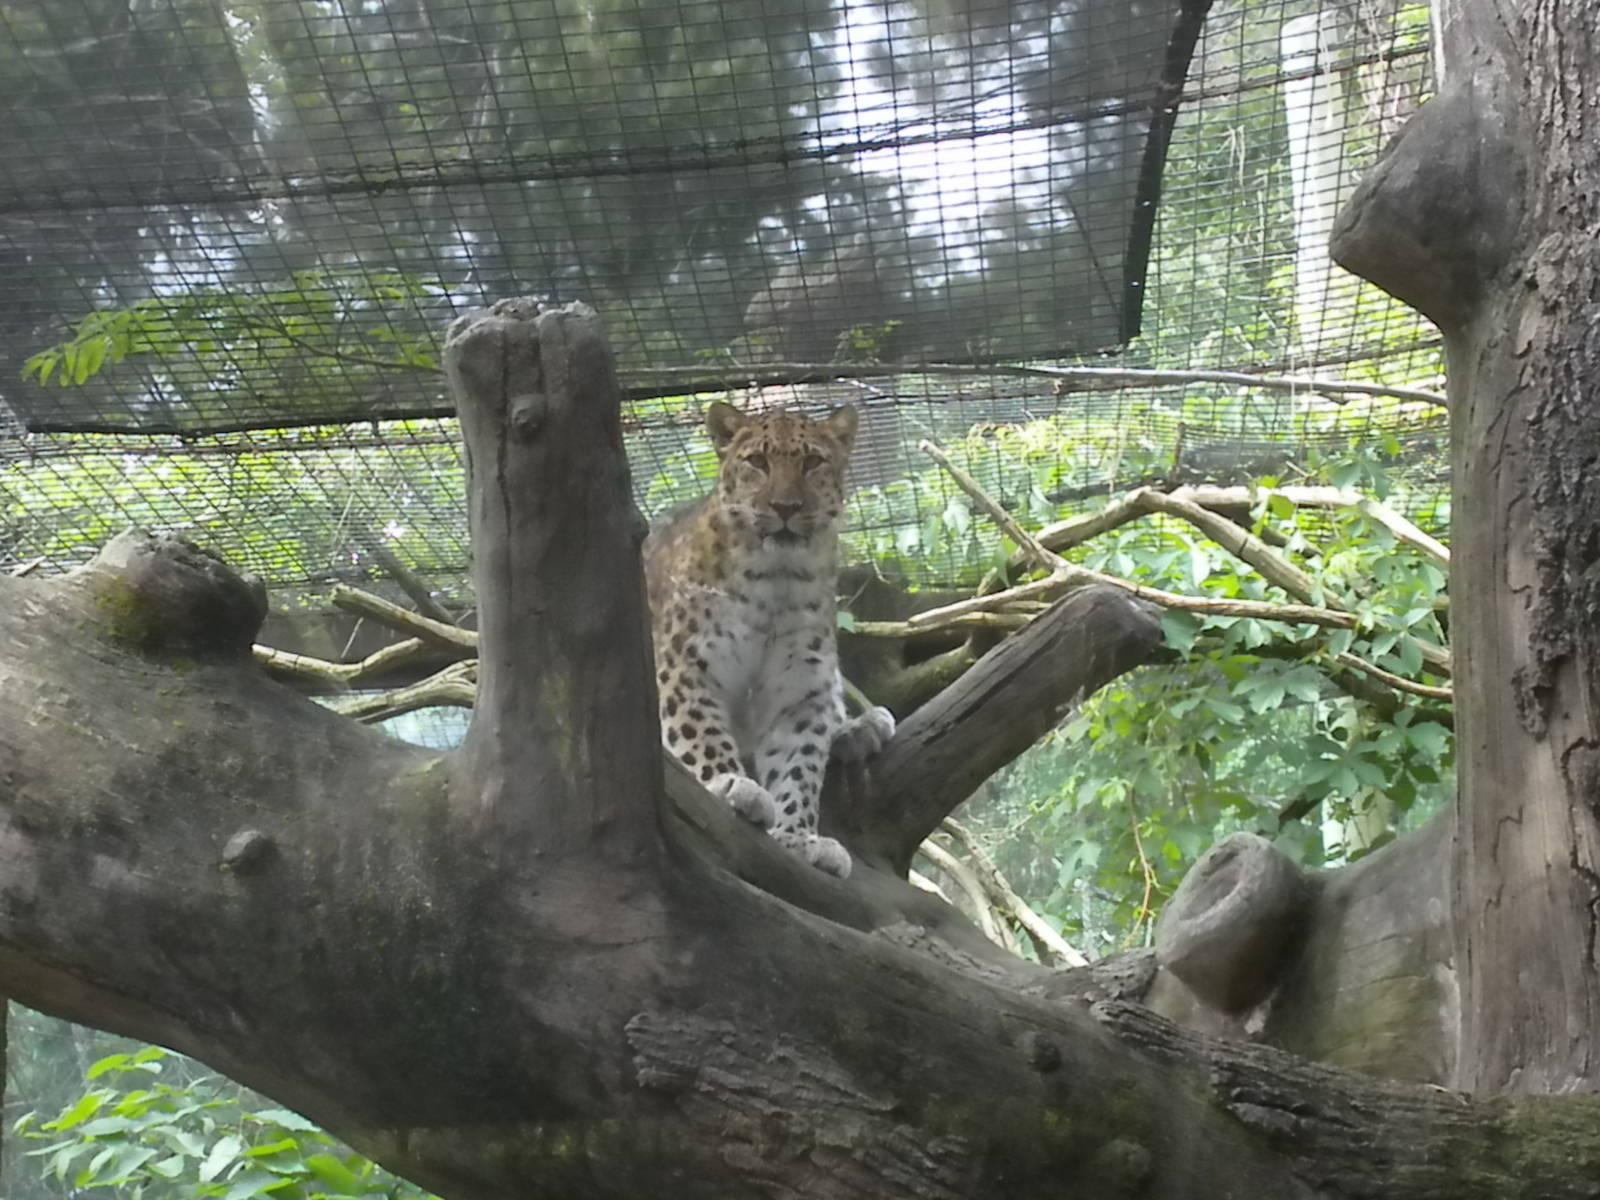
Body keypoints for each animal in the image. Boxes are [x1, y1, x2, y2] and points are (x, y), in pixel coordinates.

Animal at [643, 401, 895, 878]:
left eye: (813, 463)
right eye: (757, 462)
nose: (785, 506)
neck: (777, 581)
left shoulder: (800, 691)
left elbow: (800, 764)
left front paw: (799, 837)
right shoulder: (684, 667)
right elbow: (701, 732)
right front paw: (735, 785)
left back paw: (861, 729)